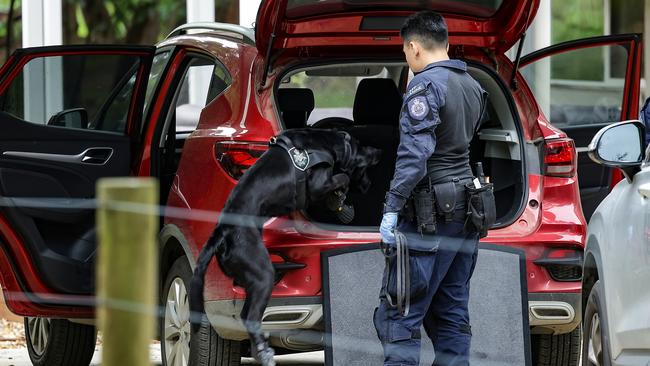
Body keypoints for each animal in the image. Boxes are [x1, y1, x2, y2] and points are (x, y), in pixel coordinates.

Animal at [187, 129, 380, 366]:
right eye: (361, 149)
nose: (378, 152)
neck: (322, 142)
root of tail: (223, 231)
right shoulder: (318, 184)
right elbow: (341, 178)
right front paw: (340, 197)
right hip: (263, 274)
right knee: (249, 316)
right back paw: (264, 352)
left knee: (246, 314)